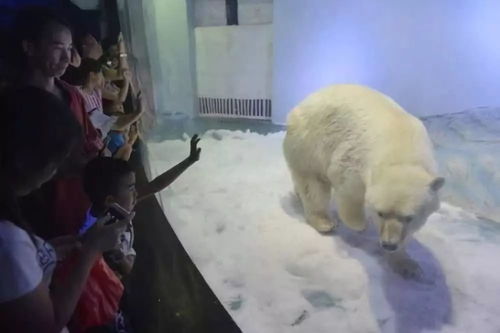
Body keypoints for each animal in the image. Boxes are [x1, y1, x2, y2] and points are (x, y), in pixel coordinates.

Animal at [284, 83, 444, 278]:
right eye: (380, 213)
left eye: (409, 217)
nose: (389, 244)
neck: (403, 151)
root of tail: (304, 101)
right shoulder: (356, 157)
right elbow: (348, 189)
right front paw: (360, 224)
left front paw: (408, 265)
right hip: (310, 141)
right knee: (313, 184)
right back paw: (324, 222)